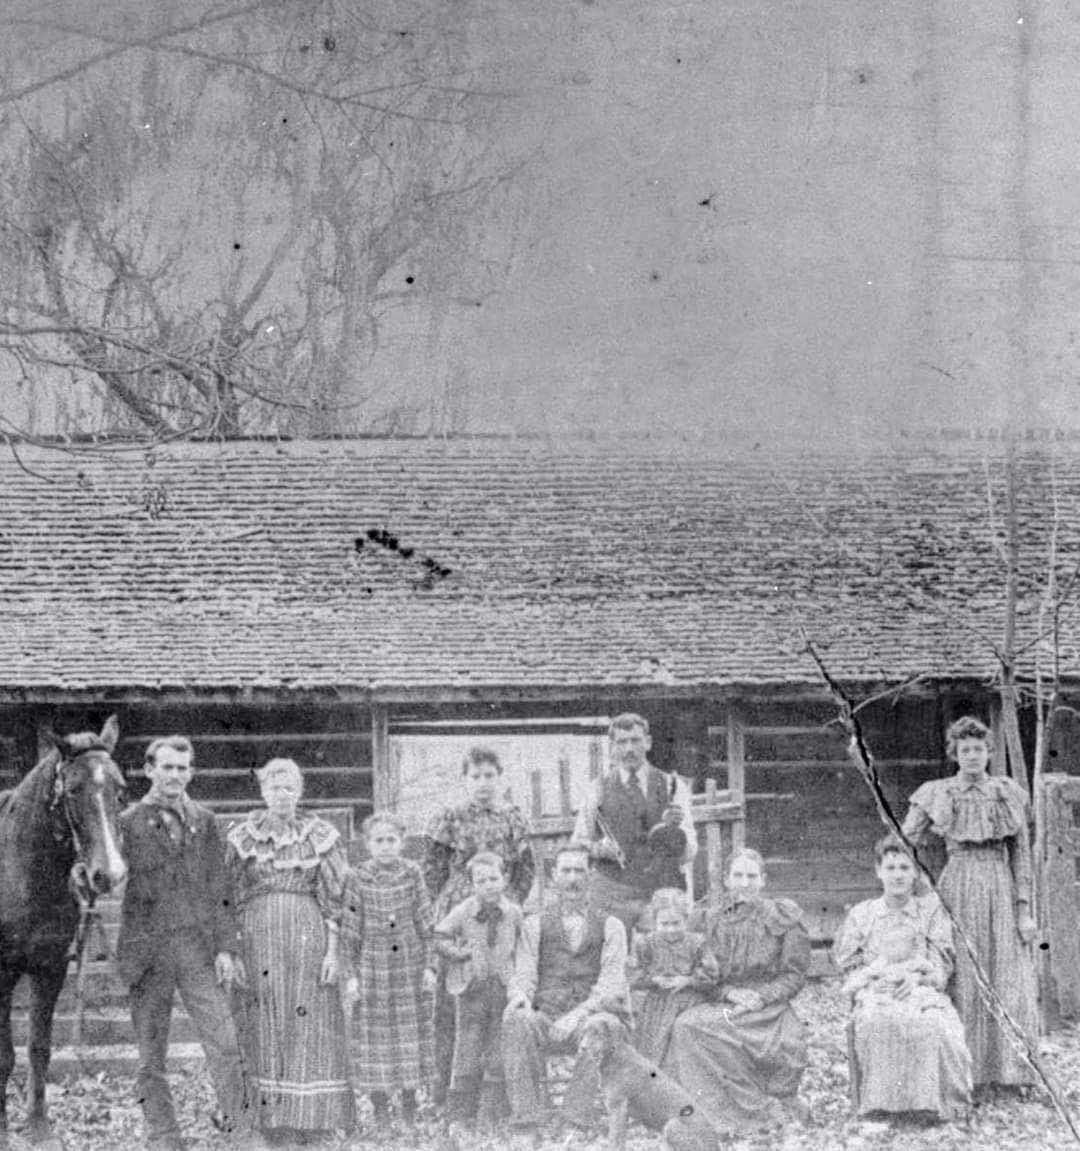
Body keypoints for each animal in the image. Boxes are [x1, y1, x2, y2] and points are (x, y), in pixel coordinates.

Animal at [0, 713, 128, 1137]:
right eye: (73, 790)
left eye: (121, 790)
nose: (108, 874)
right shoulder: (4, 972)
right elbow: (5, 1054)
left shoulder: (50, 968)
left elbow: (38, 1048)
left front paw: (38, 1124)